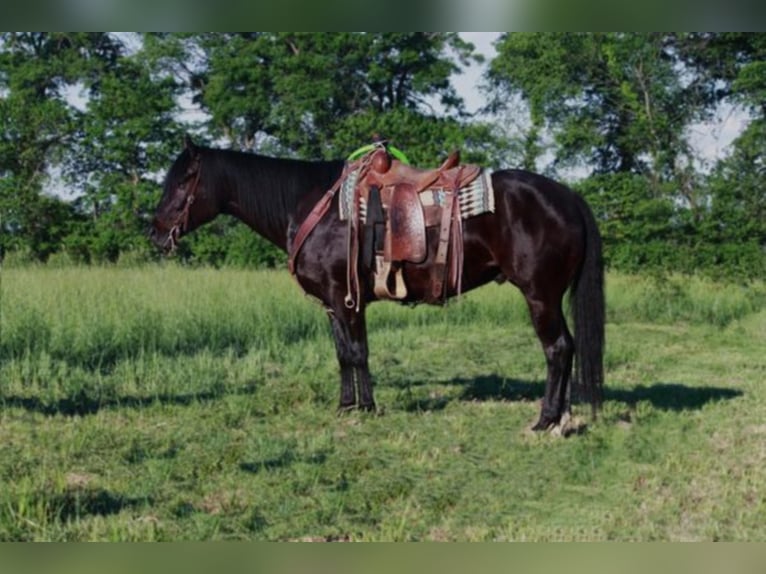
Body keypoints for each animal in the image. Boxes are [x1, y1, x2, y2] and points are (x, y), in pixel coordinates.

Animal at [152, 137, 608, 430]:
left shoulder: (347, 298)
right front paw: (345, 406)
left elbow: (358, 352)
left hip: (540, 296)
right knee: (567, 347)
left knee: (557, 349)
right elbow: (342, 355)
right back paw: (562, 416)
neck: (311, 205)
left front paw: (367, 407)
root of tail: (569, 197)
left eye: (183, 181)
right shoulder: (333, 304)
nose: (155, 234)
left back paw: (545, 420)